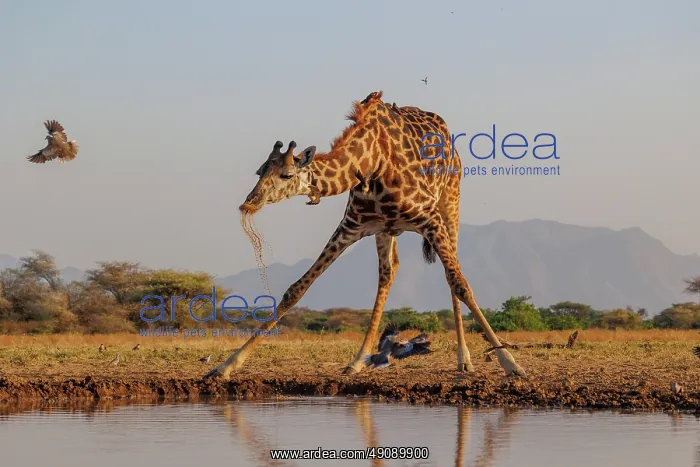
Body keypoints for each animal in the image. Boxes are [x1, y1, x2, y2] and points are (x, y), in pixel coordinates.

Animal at [205, 90, 525, 379]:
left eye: (286, 175)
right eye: (259, 171)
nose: (249, 202)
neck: (372, 161)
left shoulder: (430, 218)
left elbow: (461, 284)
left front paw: (510, 363)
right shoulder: (351, 226)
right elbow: (296, 289)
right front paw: (226, 365)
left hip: (450, 201)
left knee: (451, 274)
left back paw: (464, 359)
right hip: (386, 230)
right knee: (388, 272)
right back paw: (358, 359)